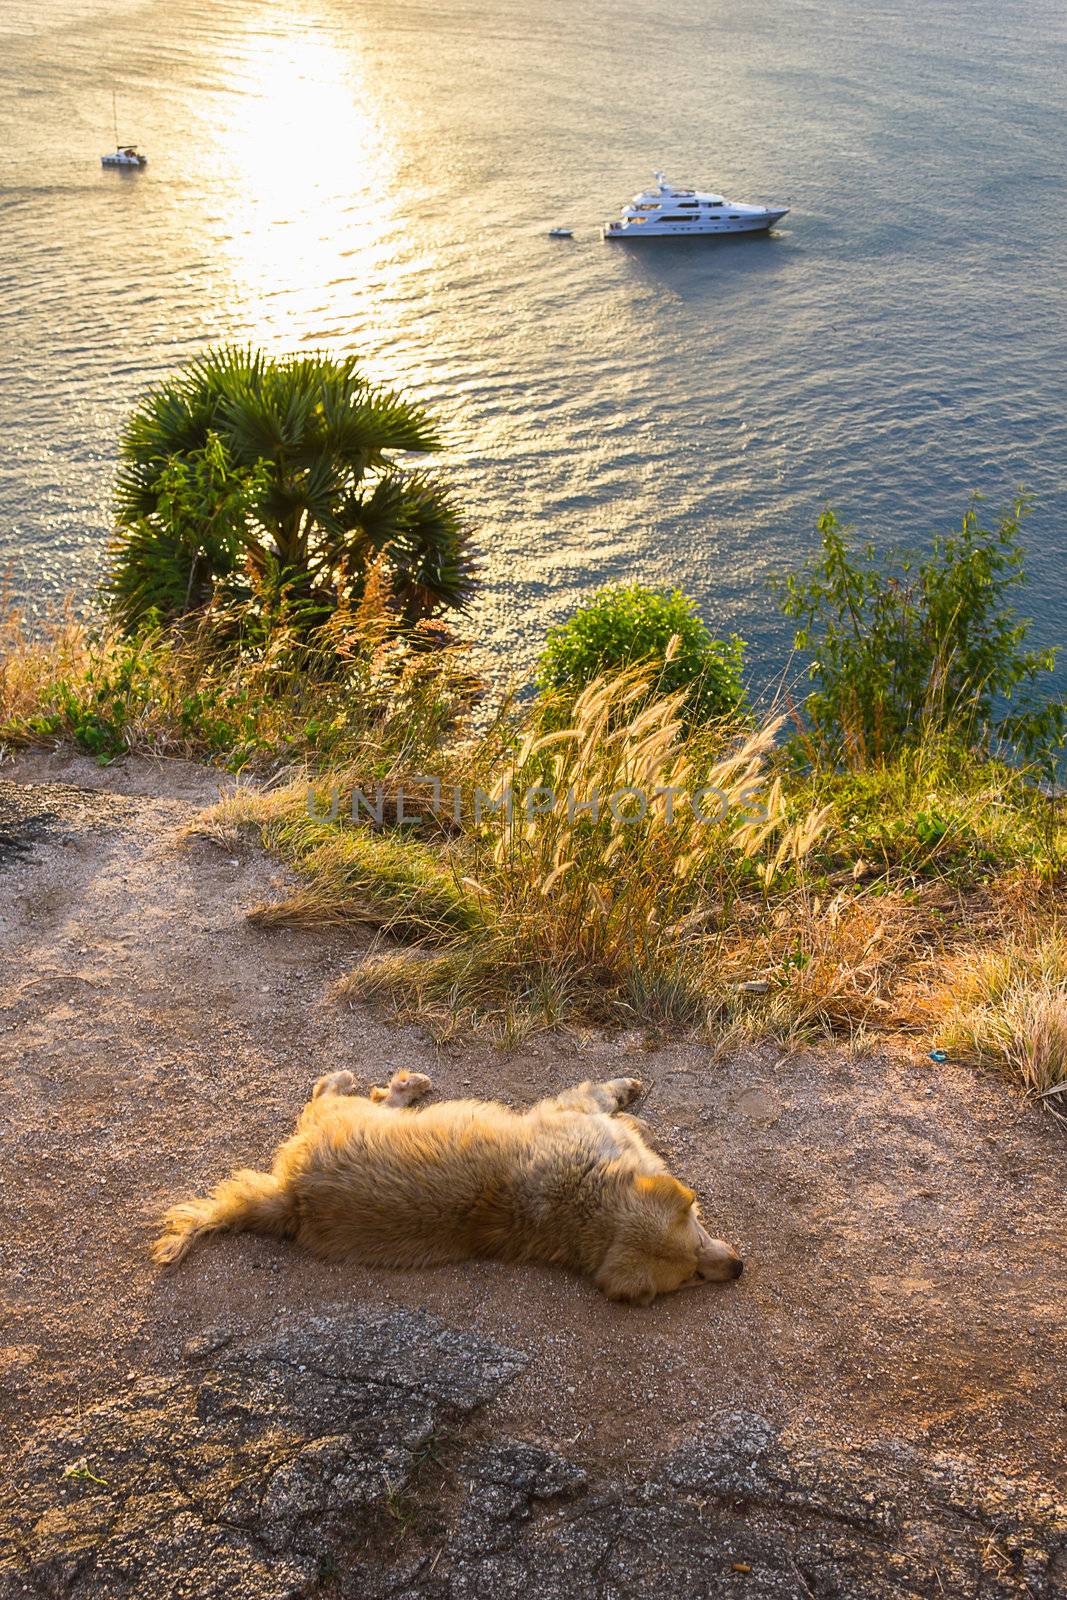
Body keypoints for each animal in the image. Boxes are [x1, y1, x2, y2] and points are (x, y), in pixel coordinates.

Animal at [154, 1068, 748, 1305]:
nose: (738, 1269)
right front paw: (631, 1098)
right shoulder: (580, 1110)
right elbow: (609, 1097)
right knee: (329, 1089)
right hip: (340, 1115)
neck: (586, 1200)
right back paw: (388, 1082)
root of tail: (289, 1198)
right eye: (692, 1272)